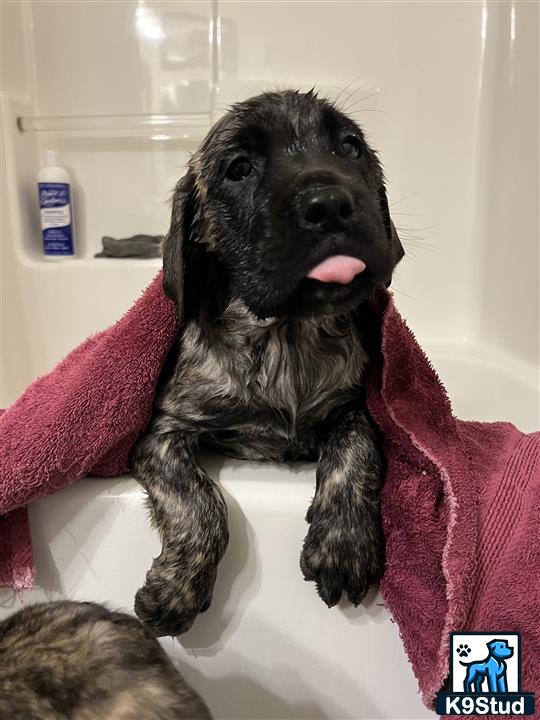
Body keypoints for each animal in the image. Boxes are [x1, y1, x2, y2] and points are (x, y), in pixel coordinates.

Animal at [129, 88, 402, 636]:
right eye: (238, 168)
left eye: (349, 146)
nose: (330, 205)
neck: (285, 340)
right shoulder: (162, 433)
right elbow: (199, 500)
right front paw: (178, 584)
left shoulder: (354, 406)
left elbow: (358, 450)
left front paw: (343, 543)